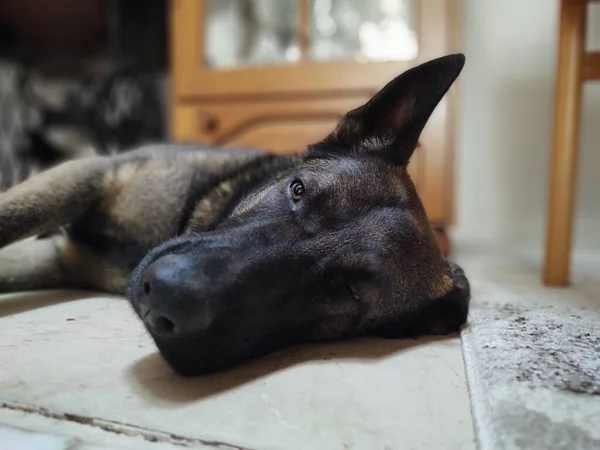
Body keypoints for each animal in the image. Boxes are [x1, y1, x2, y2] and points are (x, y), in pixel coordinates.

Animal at [0, 53, 468, 376]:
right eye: (297, 189)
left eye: (349, 292)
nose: (166, 293)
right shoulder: (88, 174)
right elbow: (14, 214)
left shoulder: (59, 258)